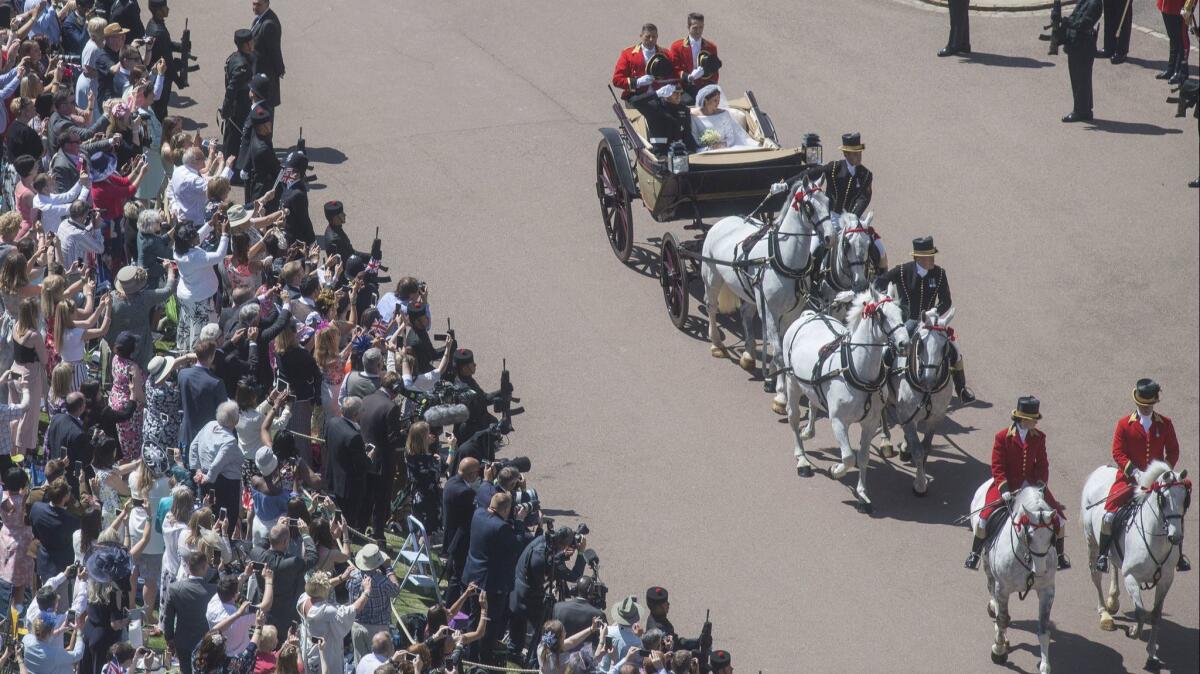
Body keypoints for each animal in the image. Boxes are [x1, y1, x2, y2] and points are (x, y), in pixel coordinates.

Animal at [700, 172, 835, 412]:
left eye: (828, 202)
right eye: (809, 206)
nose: (830, 237)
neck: (784, 261)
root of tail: (724, 220)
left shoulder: (790, 312)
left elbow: (783, 344)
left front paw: (773, 376)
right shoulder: (770, 311)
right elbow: (780, 351)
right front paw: (781, 395)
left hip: (748, 292)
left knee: (745, 314)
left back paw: (748, 355)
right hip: (712, 276)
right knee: (712, 307)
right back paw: (716, 344)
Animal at [782, 283, 902, 508]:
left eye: (901, 313)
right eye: (881, 315)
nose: (903, 343)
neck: (858, 372)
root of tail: (810, 315)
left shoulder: (870, 423)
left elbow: (862, 457)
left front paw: (862, 493)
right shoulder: (838, 421)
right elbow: (848, 457)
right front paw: (836, 471)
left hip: (810, 385)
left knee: (813, 402)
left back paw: (808, 431)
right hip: (792, 381)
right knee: (793, 418)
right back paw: (802, 459)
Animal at [878, 305, 950, 494]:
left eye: (945, 345)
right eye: (921, 344)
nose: (928, 379)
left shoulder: (935, 417)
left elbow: (926, 447)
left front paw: (922, 471)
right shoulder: (907, 414)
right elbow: (918, 450)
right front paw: (920, 484)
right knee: (882, 412)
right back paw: (886, 441)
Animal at [964, 479, 1060, 666]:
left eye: (1052, 536)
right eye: (1030, 536)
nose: (1040, 570)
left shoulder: (1047, 590)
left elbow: (1043, 629)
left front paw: (1045, 665)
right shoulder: (1003, 588)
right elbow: (1002, 620)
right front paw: (998, 651)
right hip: (987, 563)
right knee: (992, 589)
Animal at [1080, 458, 1190, 666]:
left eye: (1185, 499)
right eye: (1163, 499)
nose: (1176, 537)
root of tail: (1103, 469)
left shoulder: (1166, 580)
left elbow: (1155, 615)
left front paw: (1152, 653)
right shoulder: (1131, 577)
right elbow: (1140, 612)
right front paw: (1133, 632)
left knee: (1115, 565)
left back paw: (1113, 600)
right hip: (1092, 541)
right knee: (1096, 575)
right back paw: (1105, 614)